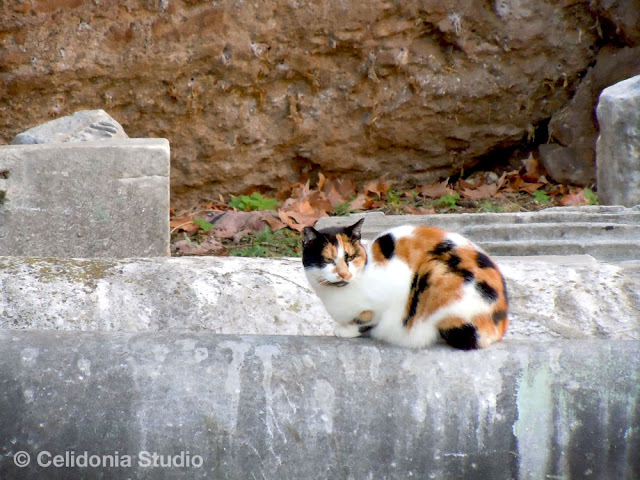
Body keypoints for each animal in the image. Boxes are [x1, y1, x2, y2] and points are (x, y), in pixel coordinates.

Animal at [302, 219, 508, 350]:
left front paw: (346, 330)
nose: (344, 274)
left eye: (350, 257)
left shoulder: (398, 281)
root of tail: (501, 324)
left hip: (437, 275)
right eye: (327, 260)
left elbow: (367, 318)